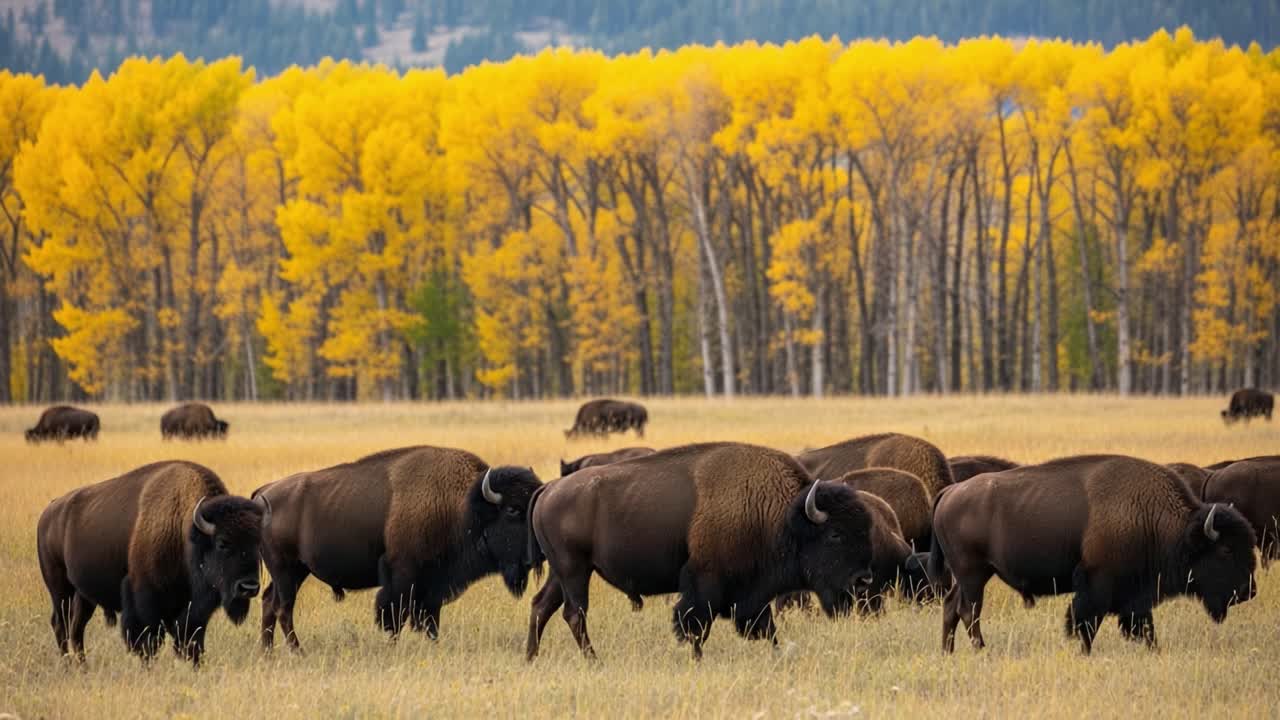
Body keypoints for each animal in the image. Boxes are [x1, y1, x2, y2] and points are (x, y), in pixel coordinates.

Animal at [36, 461, 268, 664]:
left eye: (258, 543)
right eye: (222, 543)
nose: (248, 587)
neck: (183, 531)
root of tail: (49, 511)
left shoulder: (195, 613)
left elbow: (192, 642)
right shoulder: (144, 604)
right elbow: (148, 643)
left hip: (83, 596)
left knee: (77, 628)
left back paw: (83, 667)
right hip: (60, 589)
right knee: (61, 624)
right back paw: (68, 665)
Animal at [254, 446, 542, 650]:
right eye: (513, 509)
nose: (536, 555)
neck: (463, 506)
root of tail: (264, 494)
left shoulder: (431, 587)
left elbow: (429, 621)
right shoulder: (402, 578)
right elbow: (394, 617)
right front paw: (393, 647)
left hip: (294, 572)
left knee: (270, 603)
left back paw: (268, 652)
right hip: (286, 571)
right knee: (283, 608)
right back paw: (296, 651)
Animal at [525, 442, 876, 661]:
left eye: (865, 530)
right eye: (835, 534)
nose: (863, 579)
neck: (778, 513)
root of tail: (550, 489)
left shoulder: (753, 595)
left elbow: (766, 628)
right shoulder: (706, 583)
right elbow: (695, 626)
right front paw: (696, 659)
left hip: (562, 572)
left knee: (542, 606)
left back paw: (532, 657)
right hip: (574, 570)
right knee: (574, 613)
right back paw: (593, 661)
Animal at [931, 455, 1256, 654]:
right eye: (1226, 549)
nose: (1248, 591)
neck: (1152, 518)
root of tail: (951, 492)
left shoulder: (1135, 595)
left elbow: (1143, 627)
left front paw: (1155, 650)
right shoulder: (1098, 585)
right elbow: (1086, 623)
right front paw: (1085, 652)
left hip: (969, 576)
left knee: (951, 607)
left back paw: (949, 652)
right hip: (973, 574)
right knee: (968, 611)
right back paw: (980, 650)